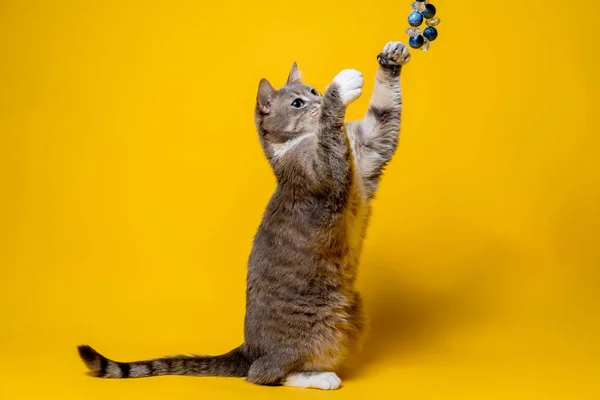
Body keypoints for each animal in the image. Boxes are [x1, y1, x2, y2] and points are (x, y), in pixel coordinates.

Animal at [77, 40, 410, 390]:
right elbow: (330, 136)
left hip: (354, 310)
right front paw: (342, 87)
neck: (299, 143)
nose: (318, 98)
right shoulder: (325, 173)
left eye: (312, 90)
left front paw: (391, 58)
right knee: (264, 373)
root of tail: (248, 348)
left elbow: (383, 115)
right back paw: (319, 377)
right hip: (318, 327)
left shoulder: (370, 148)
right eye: (298, 103)